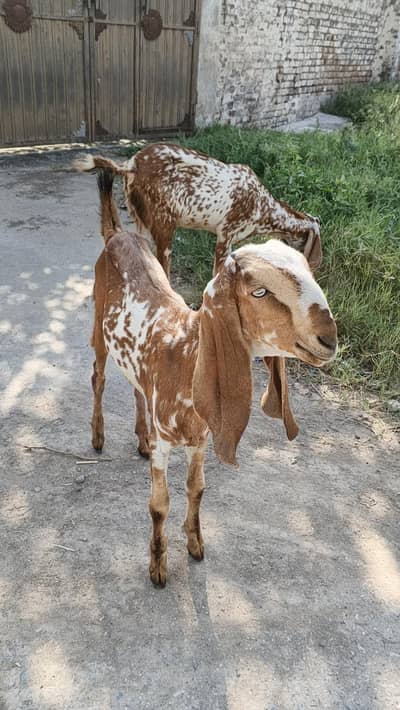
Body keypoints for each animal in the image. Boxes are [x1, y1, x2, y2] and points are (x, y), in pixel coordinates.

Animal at [91, 168, 337, 587]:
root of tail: (117, 233)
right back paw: (97, 437)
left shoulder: (200, 440)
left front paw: (195, 544)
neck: (184, 353)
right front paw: (158, 566)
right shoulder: (167, 442)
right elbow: (159, 504)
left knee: (137, 389)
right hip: (96, 322)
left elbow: (197, 489)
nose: (329, 338)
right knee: (98, 378)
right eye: (259, 291)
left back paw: (139, 438)